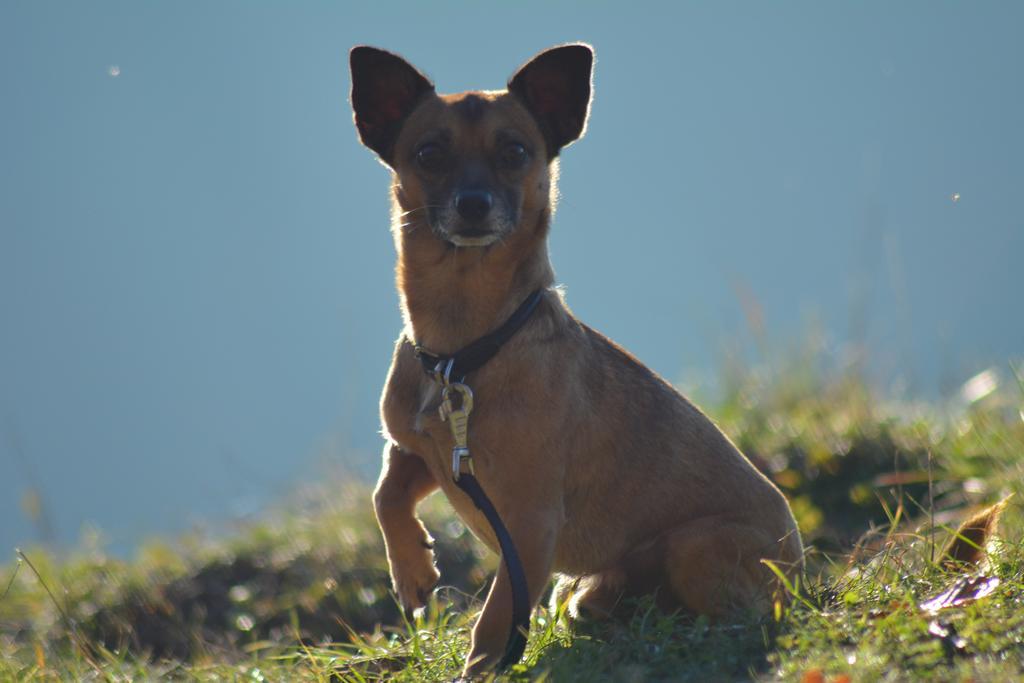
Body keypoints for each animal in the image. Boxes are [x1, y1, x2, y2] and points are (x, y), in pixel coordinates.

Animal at [348, 44, 802, 679]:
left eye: (515, 152)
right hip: (587, 584)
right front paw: (412, 568)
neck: (462, 353)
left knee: (743, 612)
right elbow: (384, 495)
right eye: (429, 153)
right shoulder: (419, 451)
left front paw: (477, 668)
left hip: (695, 546)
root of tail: (803, 563)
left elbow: (496, 619)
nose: (473, 205)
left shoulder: (530, 523)